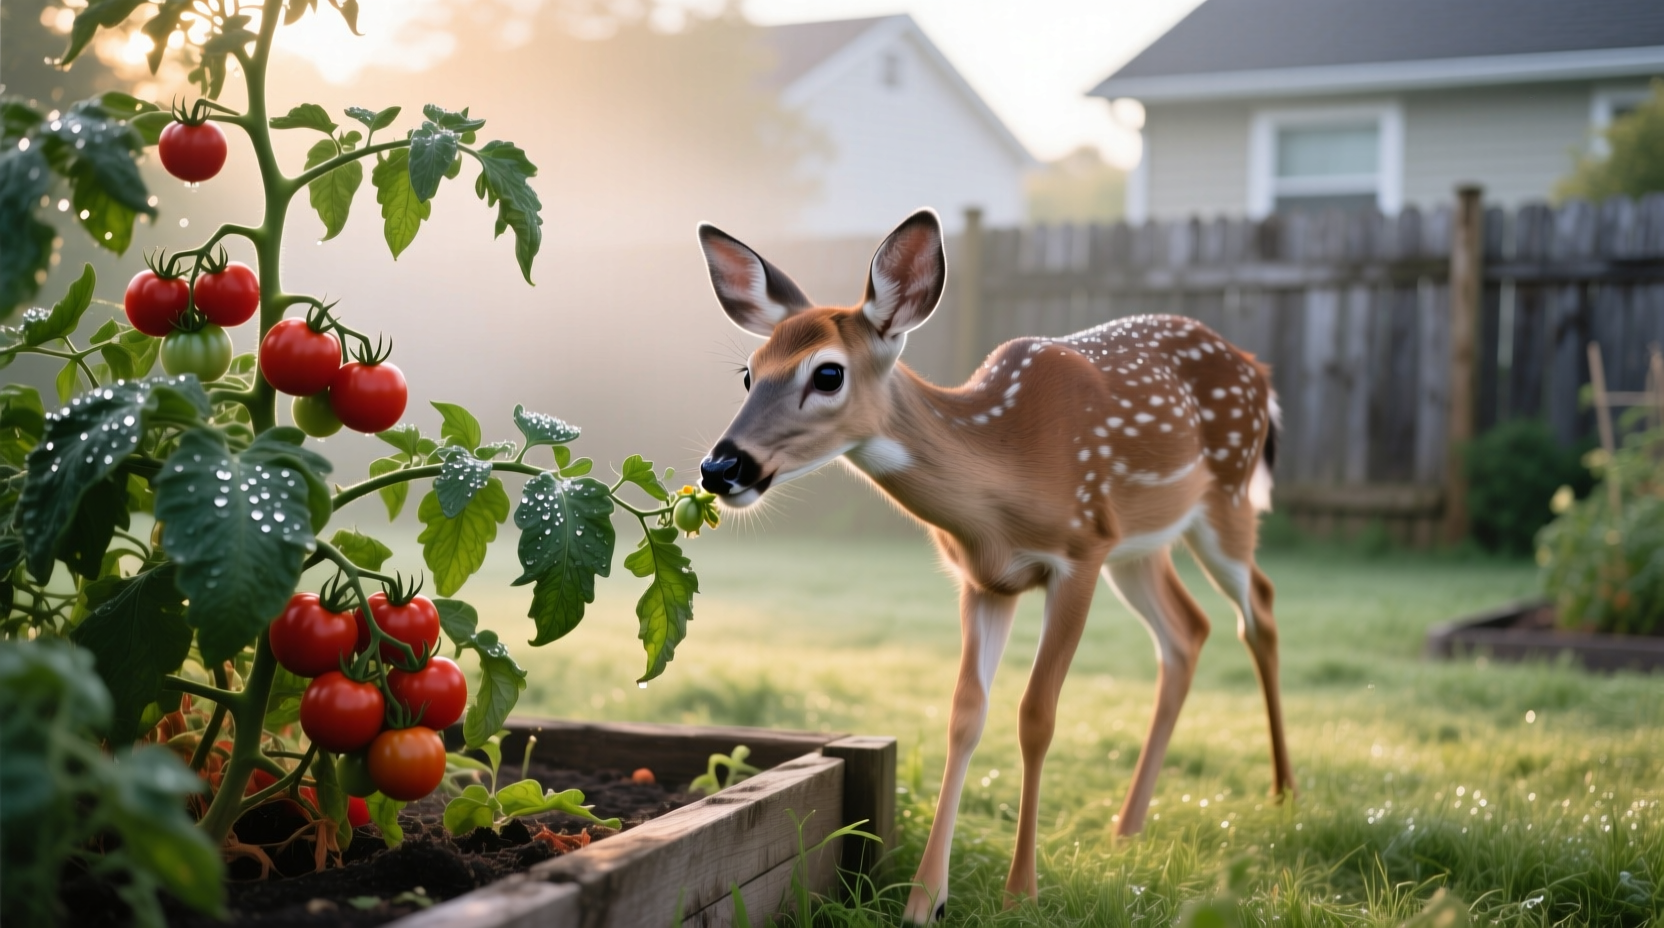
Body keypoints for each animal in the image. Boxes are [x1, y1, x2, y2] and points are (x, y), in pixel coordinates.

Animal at [694, 209, 1293, 922]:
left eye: (828, 374)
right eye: (749, 372)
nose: (721, 466)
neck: (1003, 485)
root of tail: (1259, 371)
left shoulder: (1079, 553)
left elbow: (1037, 714)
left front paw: (1020, 893)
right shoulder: (986, 580)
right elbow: (964, 716)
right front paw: (924, 900)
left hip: (1224, 501)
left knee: (1259, 608)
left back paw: (1284, 795)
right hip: (1140, 545)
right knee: (1188, 631)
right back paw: (1126, 828)